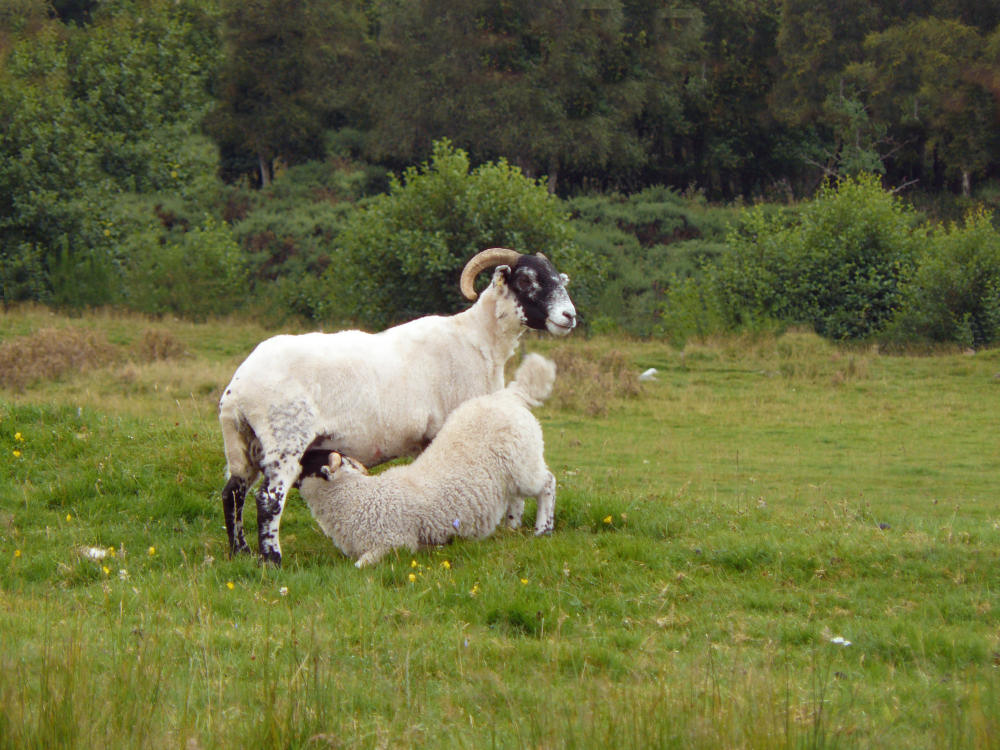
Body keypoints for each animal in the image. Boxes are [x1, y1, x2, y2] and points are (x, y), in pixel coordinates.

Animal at [296, 356, 564, 568]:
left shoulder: (394, 543)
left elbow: (360, 565)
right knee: (517, 497)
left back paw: (542, 528)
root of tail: (510, 396)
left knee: (547, 483)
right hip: (513, 469)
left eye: (308, 460)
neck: (359, 499)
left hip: (525, 462)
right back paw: (512, 526)